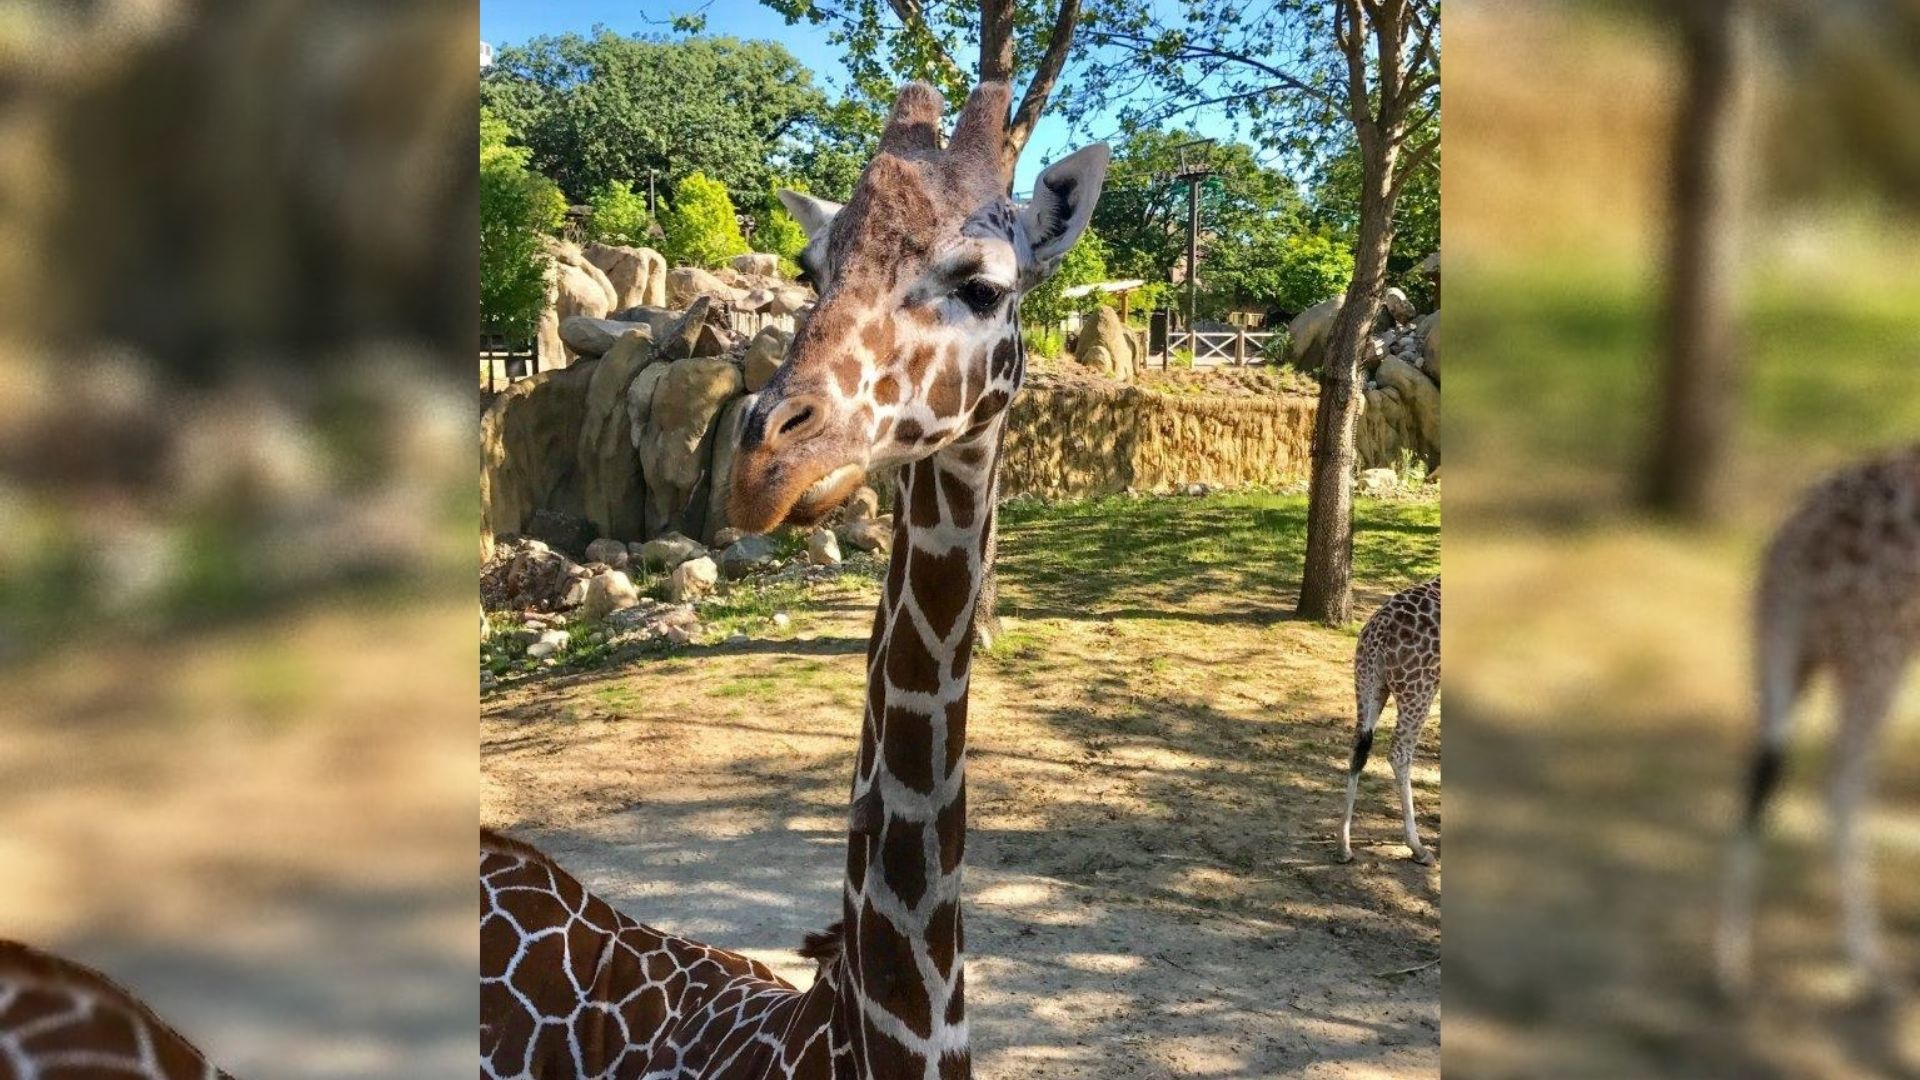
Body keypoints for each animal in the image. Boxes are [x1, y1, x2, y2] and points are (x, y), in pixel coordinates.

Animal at [1338, 577, 1441, 865]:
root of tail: (1379, 627)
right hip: (1419, 688)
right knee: (1399, 752)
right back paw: (1418, 848)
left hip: (1368, 680)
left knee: (1358, 745)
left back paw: (1344, 846)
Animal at [1717, 444, 1920, 1000]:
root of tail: (1797, 549)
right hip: (1877, 653)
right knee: (1841, 782)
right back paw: (1868, 962)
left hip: (1779, 651)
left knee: (1761, 773)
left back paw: (1732, 962)